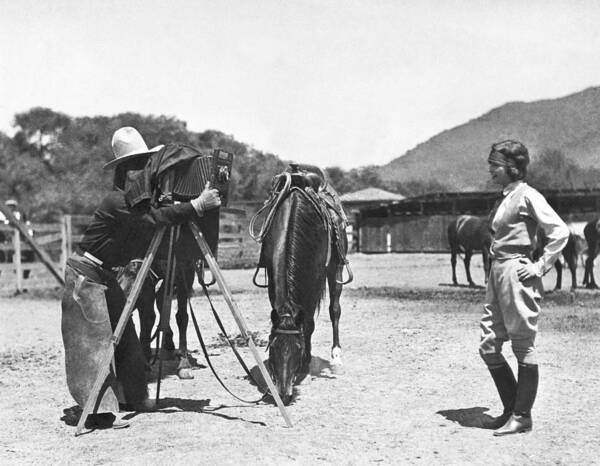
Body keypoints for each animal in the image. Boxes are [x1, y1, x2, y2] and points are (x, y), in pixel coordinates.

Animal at [250, 167, 352, 404]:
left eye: (297, 348)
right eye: (272, 349)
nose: (283, 393)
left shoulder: (315, 279)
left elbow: (309, 323)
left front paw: (305, 364)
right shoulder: (272, 278)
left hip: (335, 269)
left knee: (335, 310)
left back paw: (336, 357)